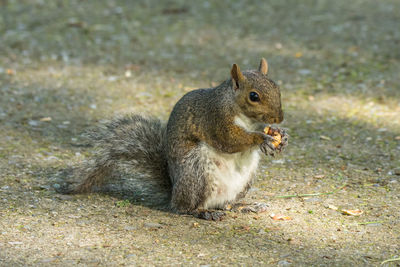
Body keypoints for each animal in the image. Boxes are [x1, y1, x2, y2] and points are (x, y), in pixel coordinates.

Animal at [59, 58, 290, 220]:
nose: (279, 117)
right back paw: (202, 212)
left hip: (243, 182)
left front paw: (280, 134)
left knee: (226, 204)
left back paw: (245, 206)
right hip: (196, 173)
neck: (245, 117)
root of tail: (174, 193)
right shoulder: (215, 118)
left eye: (277, 87)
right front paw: (262, 139)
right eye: (253, 96)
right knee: (186, 208)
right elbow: (230, 140)